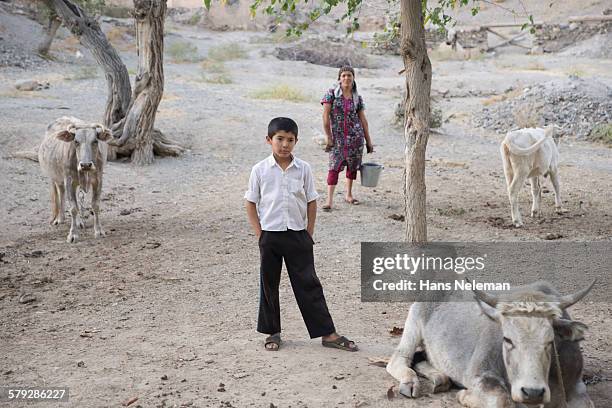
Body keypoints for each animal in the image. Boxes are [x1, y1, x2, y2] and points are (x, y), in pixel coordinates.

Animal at [388, 280, 592, 408]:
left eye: (550, 341)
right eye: (507, 339)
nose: (532, 392)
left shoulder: (577, 385)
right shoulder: (480, 374)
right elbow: (503, 400)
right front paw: (465, 396)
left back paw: (440, 378)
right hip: (413, 323)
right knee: (399, 359)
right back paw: (410, 382)